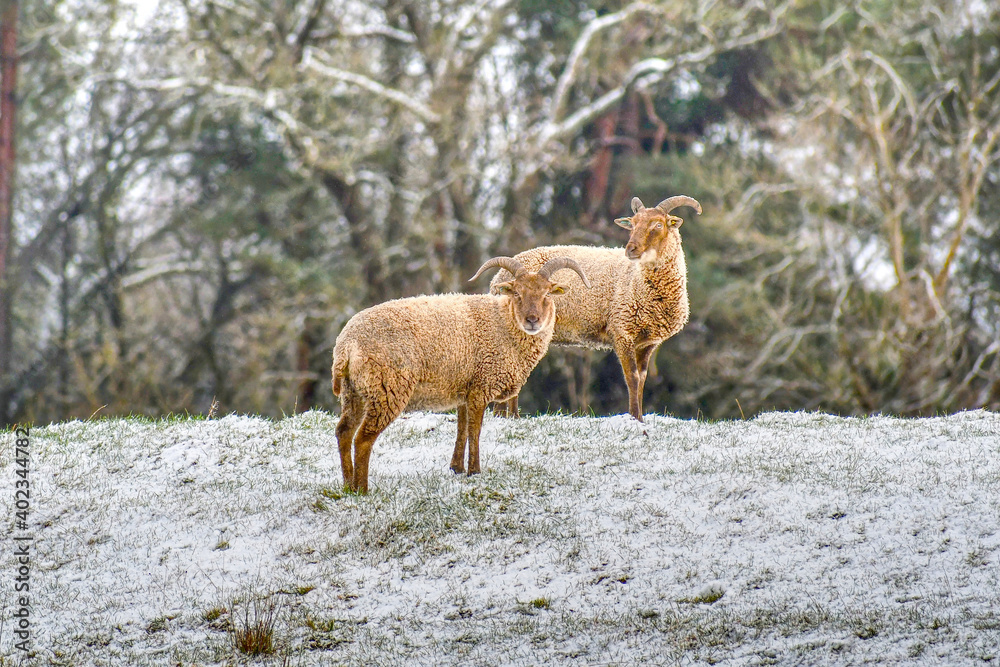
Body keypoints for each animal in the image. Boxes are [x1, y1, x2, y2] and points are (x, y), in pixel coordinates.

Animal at [332, 254, 588, 490]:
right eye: (516, 293)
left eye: (547, 294)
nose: (532, 320)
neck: (503, 324)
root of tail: (347, 344)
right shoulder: (481, 387)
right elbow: (475, 431)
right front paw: (475, 471)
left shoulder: (466, 389)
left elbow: (462, 429)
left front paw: (457, 468)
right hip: (387, 389)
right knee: (363, 438)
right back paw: (362, 489)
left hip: (354, 392)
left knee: (344, 432)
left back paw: (348, 485)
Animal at [488, 194, 700, 422]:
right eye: (632, 224)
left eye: (658, 225)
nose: (631, 249)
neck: (637, 280)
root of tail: (497, 280)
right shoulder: (622, 331)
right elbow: (632, 378)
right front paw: (635, 418)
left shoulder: (647, 342)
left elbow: (642, 379)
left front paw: (640, 417)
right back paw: (505, 416)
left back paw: (509, 416)